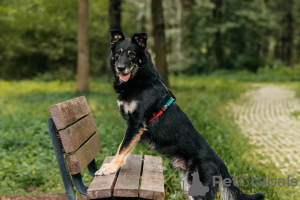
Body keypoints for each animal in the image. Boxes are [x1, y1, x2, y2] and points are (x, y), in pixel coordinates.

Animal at [95, 30, 264, 200]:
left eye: (132, 55)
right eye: (118, 53)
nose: (120, 68)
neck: (140, 81)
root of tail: (219, 161)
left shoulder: (136, 125)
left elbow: (121, 149)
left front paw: (109, 168)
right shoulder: (134, 127)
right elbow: (125, 149)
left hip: (198, 191)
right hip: (187, 185)